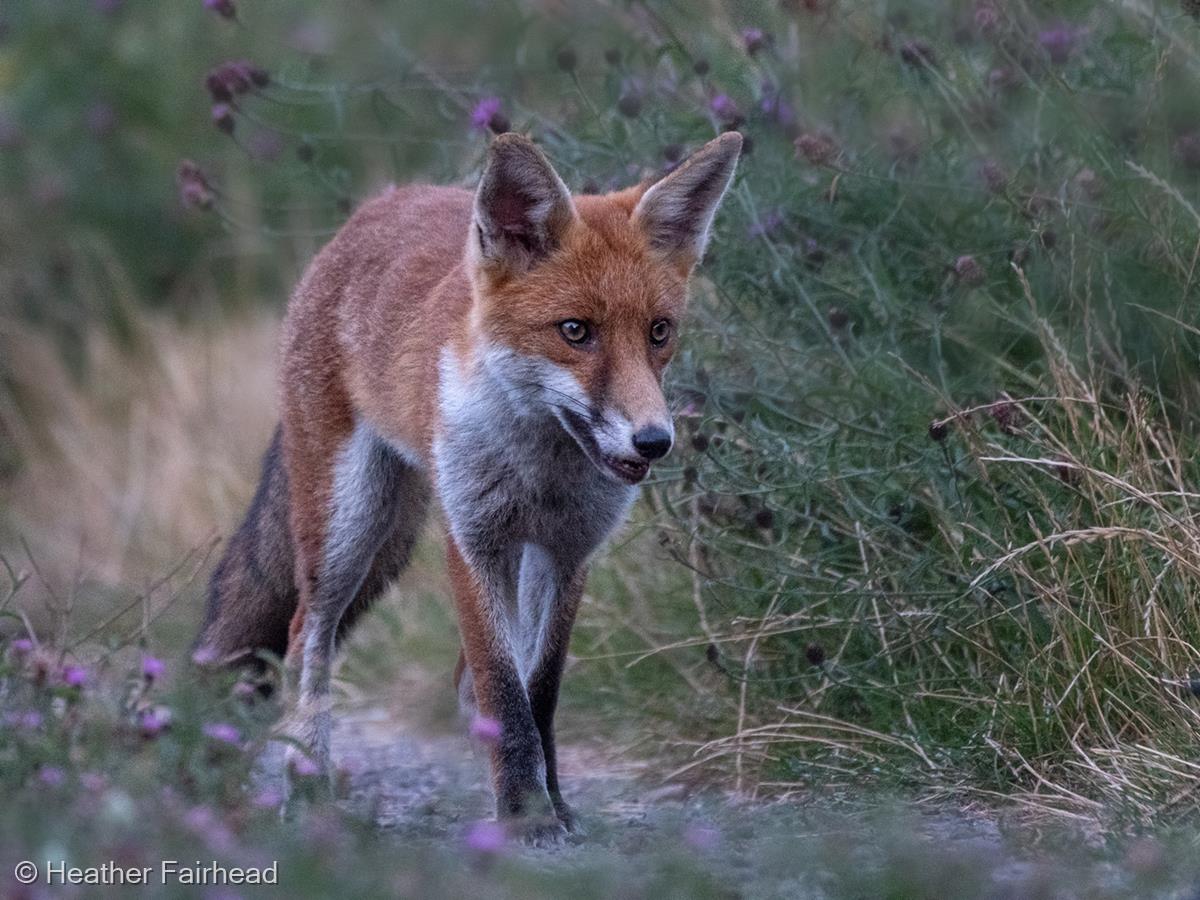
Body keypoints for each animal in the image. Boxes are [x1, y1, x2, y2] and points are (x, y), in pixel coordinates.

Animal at [195, 128, 739, 844]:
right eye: (575, 331)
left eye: (659, 331)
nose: (653, 441)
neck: (541, 469)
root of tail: (382, 203)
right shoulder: (475, 542)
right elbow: (503, 689)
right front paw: (524, 813)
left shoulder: (566, 554)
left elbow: (539, 691)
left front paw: (550, 802)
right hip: (347, 528)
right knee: (305, 637)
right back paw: (307, 788)